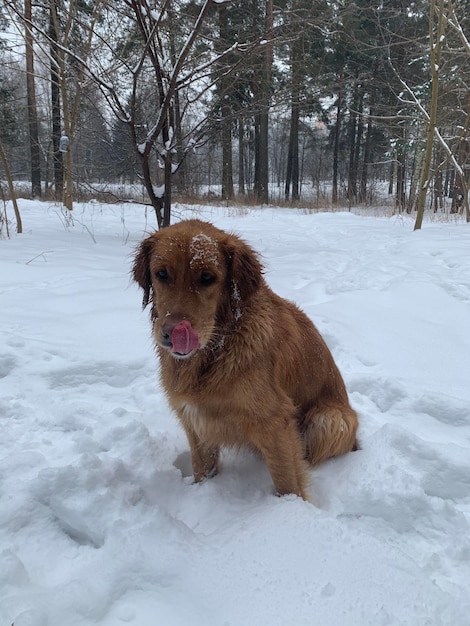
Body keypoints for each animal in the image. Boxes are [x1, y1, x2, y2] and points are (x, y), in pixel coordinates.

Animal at [134, 218, 358, 498]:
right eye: (162, 274)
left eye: (207, 277)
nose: (171, 334)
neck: (216, 350)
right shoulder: (196, 422)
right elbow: (202, 470)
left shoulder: (275, 422)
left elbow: (287, 483)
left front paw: (292, 508)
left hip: (329, 420)